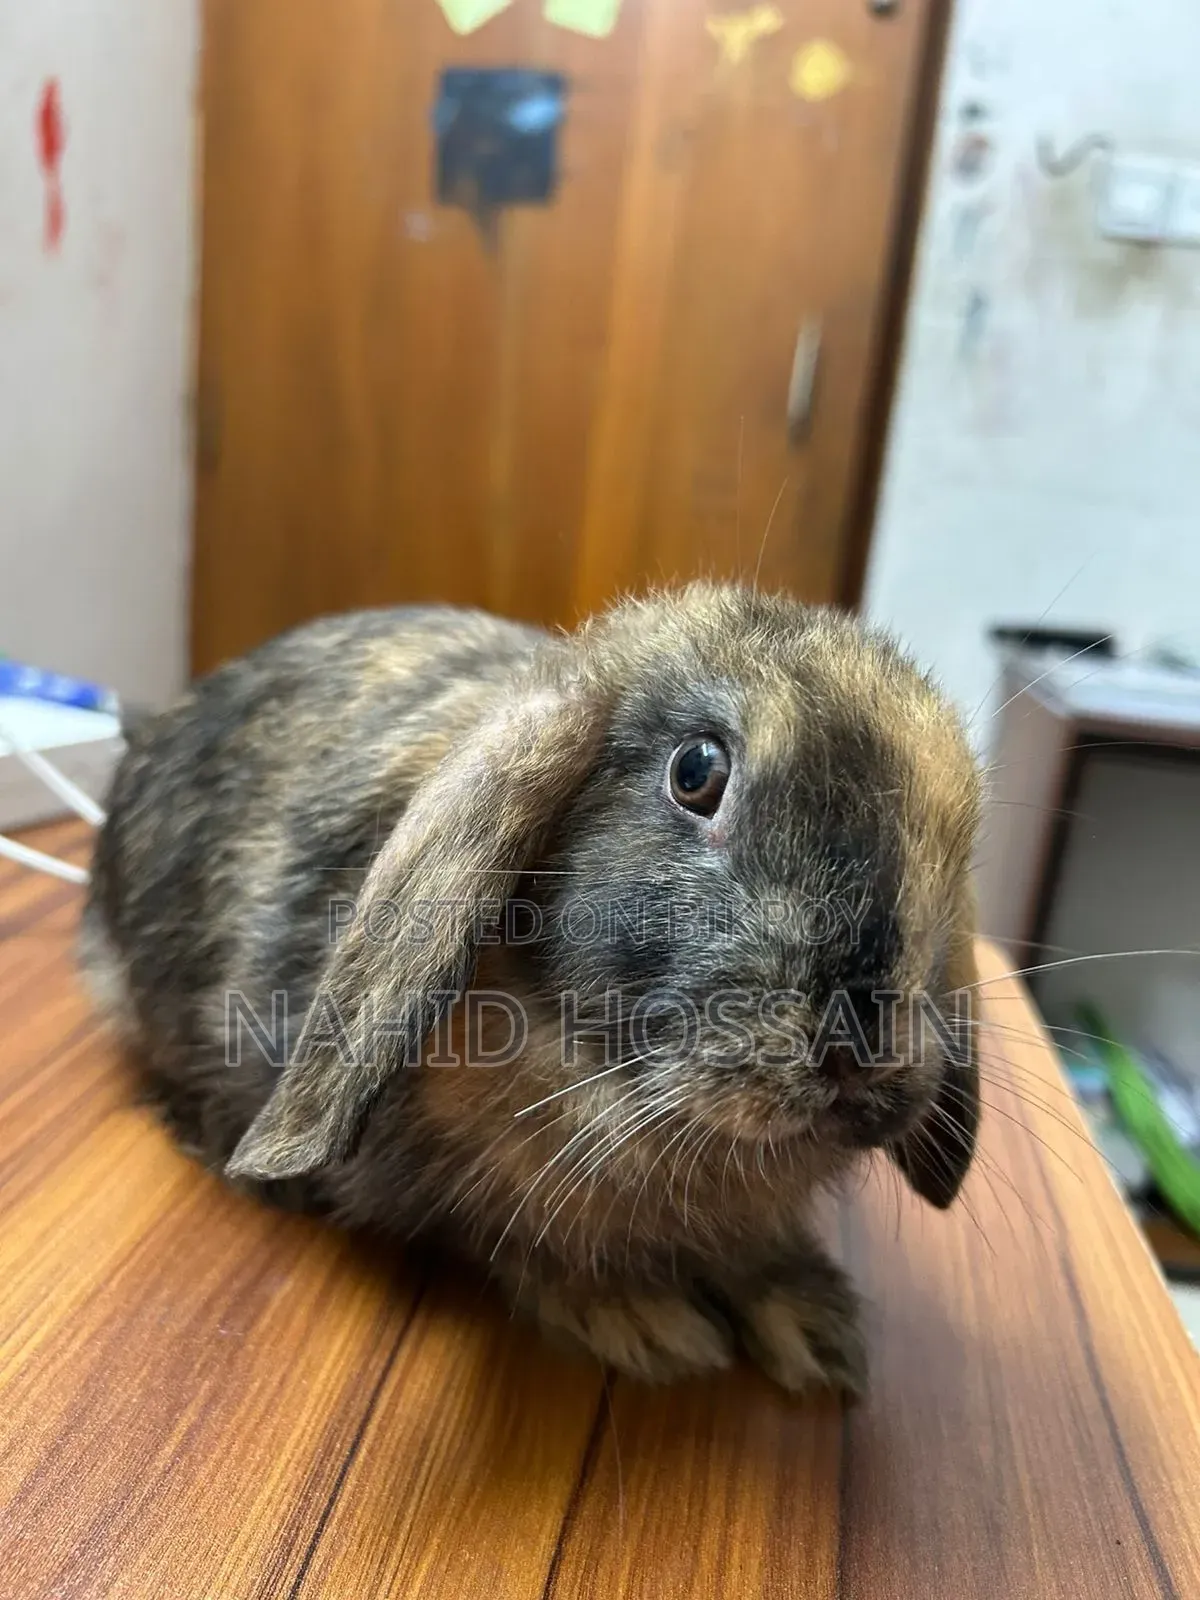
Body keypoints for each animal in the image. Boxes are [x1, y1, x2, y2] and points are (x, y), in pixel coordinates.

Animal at [81, 584, 982, 1396]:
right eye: (697, 771)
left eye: (955, 845)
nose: (861, 1054)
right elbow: (530, 1242)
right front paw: (648, 1323)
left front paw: (816, 1330)